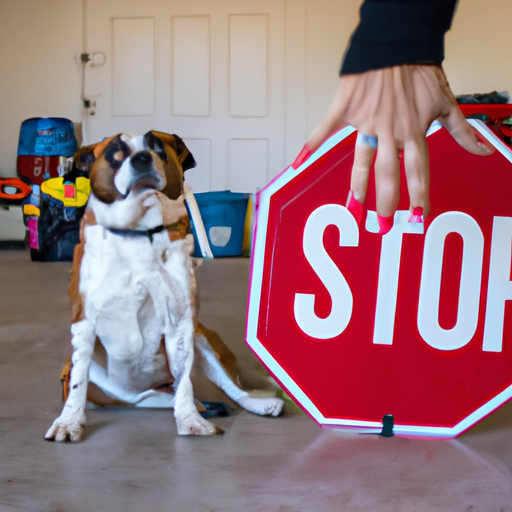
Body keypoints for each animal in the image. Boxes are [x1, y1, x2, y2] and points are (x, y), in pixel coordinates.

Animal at [45, 131, 284, 440]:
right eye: (116, 150)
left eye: (156, 145)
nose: (142, 158)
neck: (138, 233)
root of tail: (145, 393)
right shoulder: (85, 321)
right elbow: (78, 380)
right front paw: (69, 421)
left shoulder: (180, 321)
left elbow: (186, 382)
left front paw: (189, 420)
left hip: (202, 340)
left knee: (229, 387)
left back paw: (256, 403)